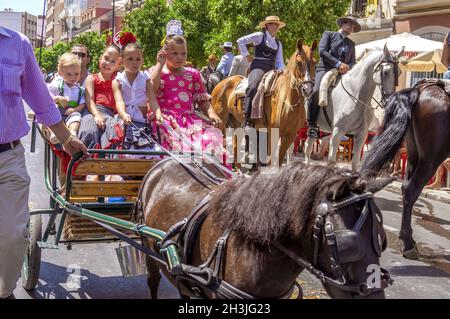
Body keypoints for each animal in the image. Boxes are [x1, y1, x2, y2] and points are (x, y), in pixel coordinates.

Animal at [211, 40, 316, 168]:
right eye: (299, 62)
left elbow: (278, 160)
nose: (307, 89)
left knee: (235, 143)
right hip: (221, 121)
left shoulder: (289, 136)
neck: (288, 102)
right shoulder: (272, 133)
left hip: (236, 122)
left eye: (315, 62)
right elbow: (270, 160)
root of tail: (222, 83)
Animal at [304, 44, 402, 172]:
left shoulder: (361, 135)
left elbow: (355, 163)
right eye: (385, 72)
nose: (390, 101)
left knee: (310, 145)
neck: (356, 95)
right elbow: (331, 162)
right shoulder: (338, 132)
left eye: (399, 72)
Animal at [360, 80, 450, 260]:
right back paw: (408, 244)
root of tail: (420, 90)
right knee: (411, 189)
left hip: (414, 154)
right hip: (430, 159)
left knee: (406, 188)